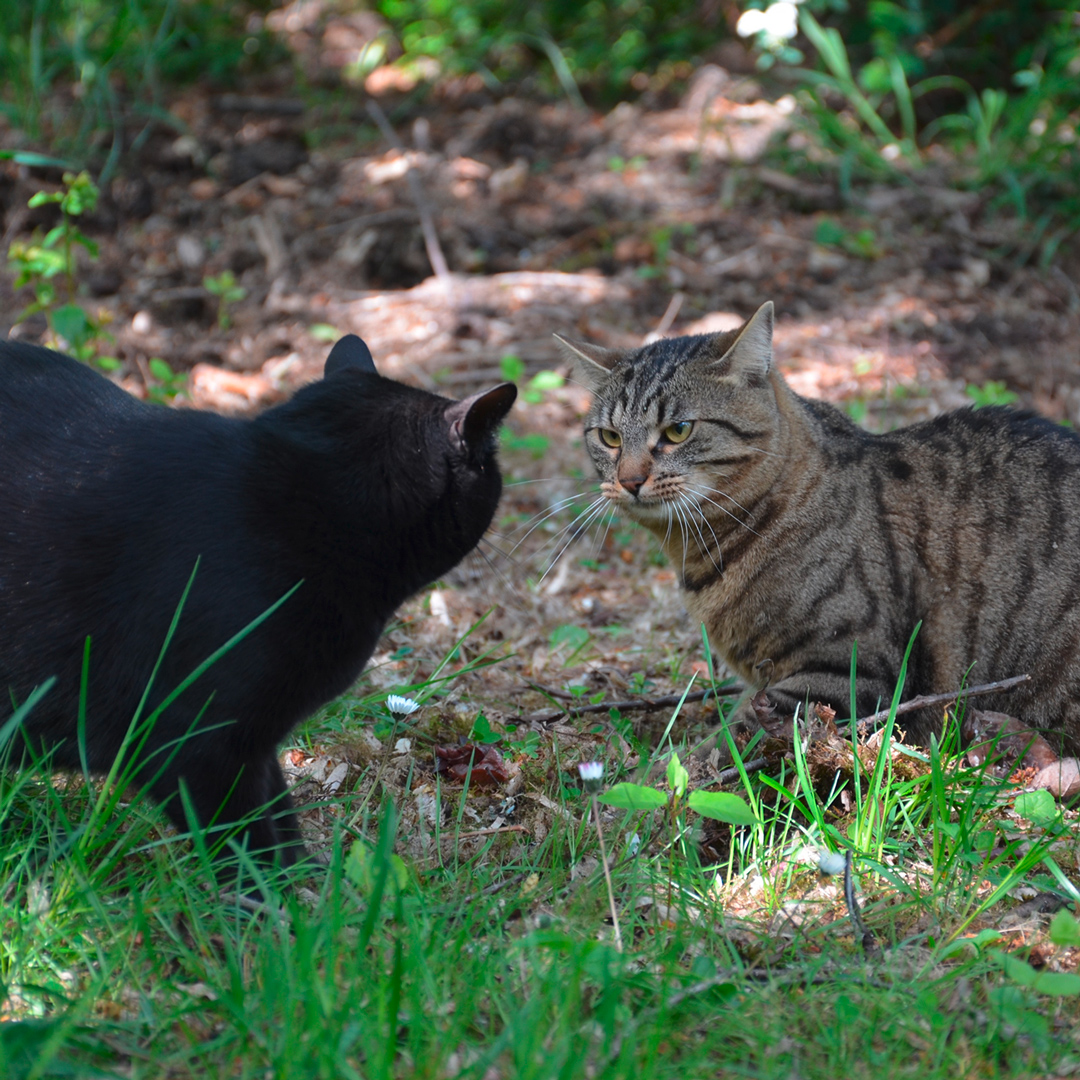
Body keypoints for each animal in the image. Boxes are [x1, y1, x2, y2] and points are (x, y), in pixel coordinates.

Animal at [1, 336, 514, 868]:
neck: (312, 515)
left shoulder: (255, 742)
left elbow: (278, 813)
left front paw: (306, 881)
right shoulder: (192, 745)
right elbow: (243, 843)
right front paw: (270, 890)